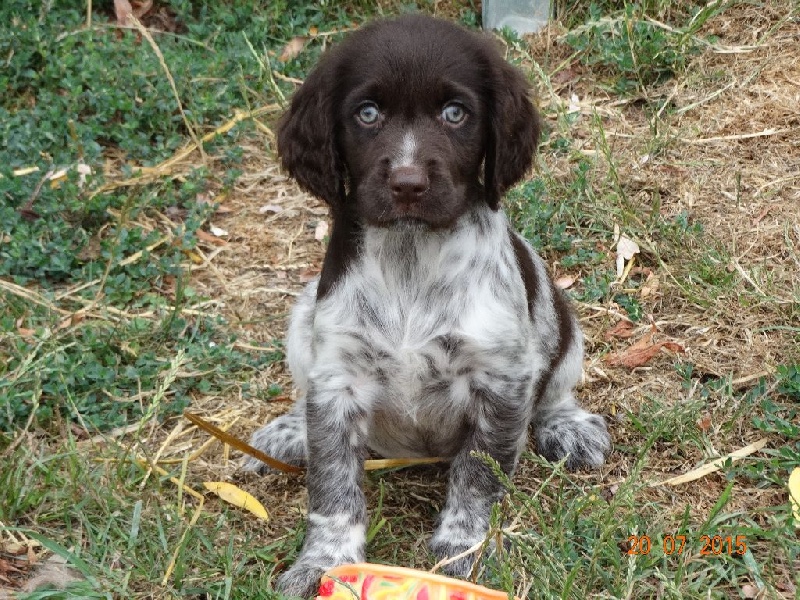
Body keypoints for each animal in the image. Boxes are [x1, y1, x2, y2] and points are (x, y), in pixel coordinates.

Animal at [247, 15, 608, 600]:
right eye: (367, 113)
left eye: (455, 113)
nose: (408, 183)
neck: (411, 257)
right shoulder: (337, 378)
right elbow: (332, 486)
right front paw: (324, 562)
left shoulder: (500, 379)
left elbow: (478, 476)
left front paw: (460, 554)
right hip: (302, 317)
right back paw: (290, 431)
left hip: (560, 317)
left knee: (555, 387)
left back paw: (567, 427)